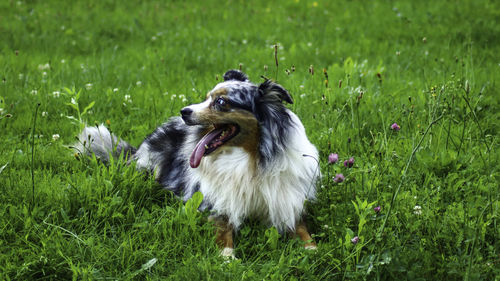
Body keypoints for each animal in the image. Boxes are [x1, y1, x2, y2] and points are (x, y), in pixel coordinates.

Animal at [76, 69, 320, 256]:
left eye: (221, 102)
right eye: (206, 97)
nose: (184, 111)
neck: (250, 160)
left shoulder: (287, 201)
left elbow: (302, 230)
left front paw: (312, 249)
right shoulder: (214, 202)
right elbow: (223, 230)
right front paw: (227, 258)